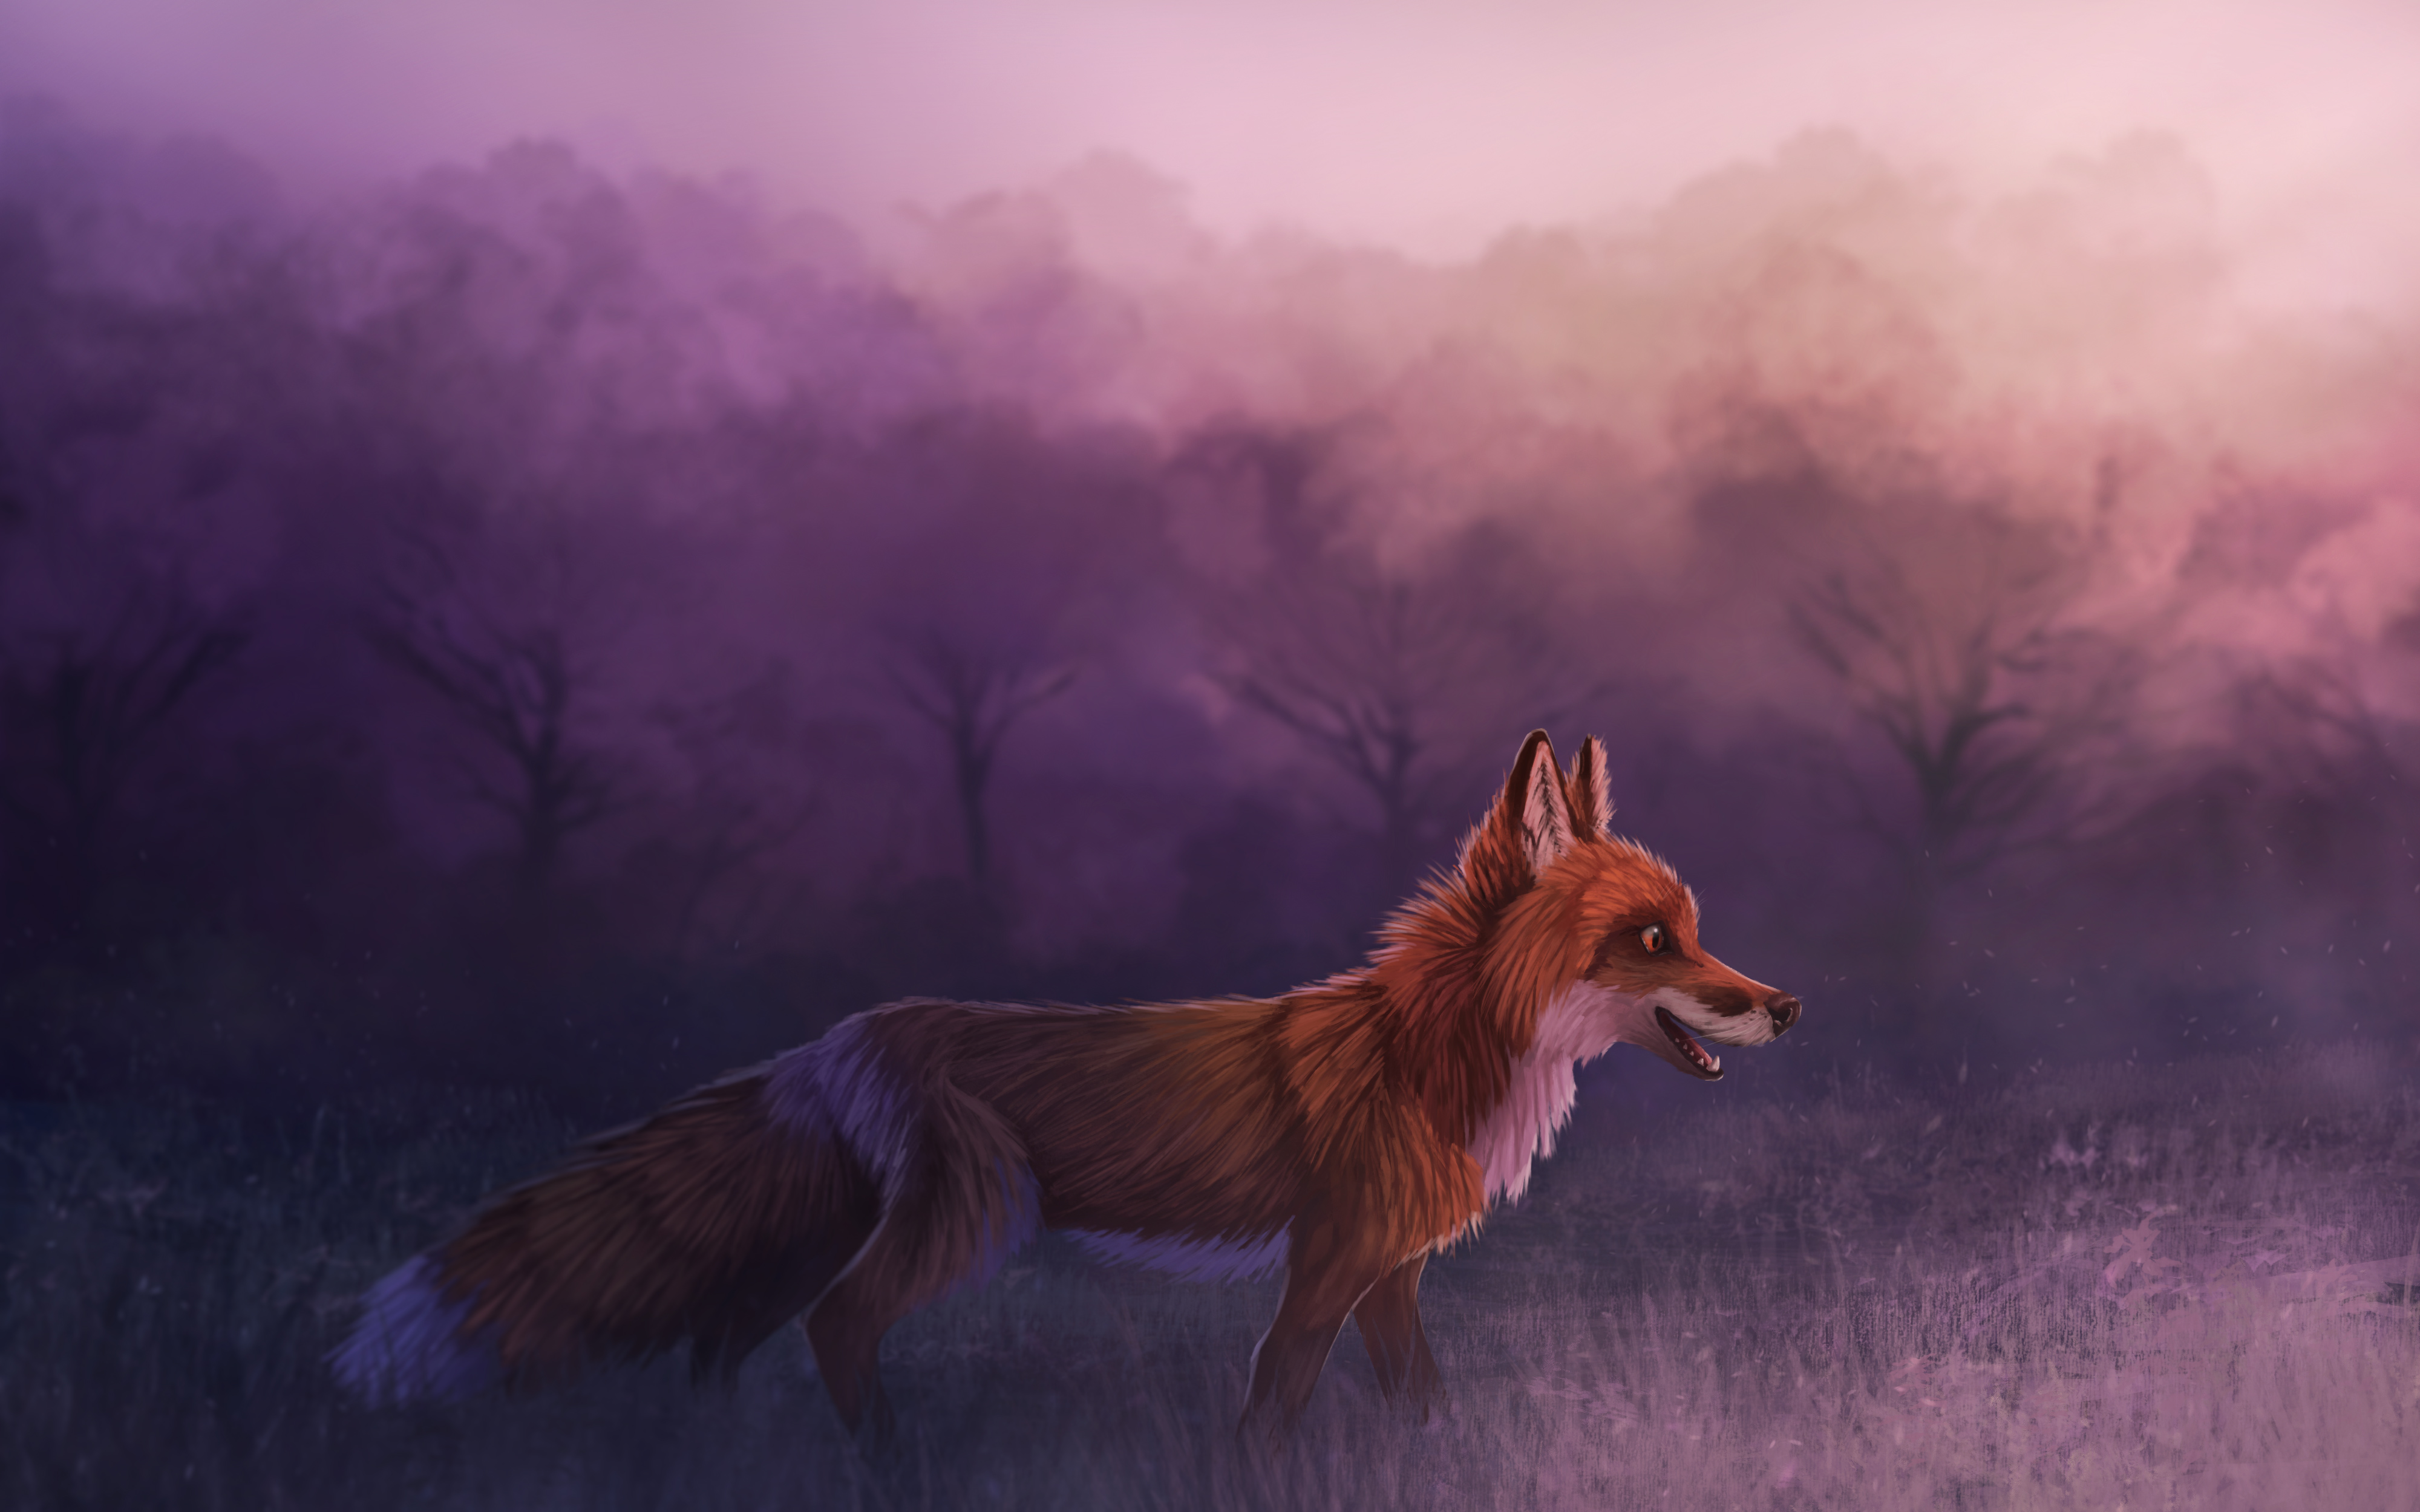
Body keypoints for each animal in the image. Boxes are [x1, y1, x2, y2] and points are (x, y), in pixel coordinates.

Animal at [332, 729, 1800, 1442]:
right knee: (834, 1325)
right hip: (966, 1213)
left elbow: (1419, 1405)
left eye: (1694, 928)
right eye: (1650, 940)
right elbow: (1268, 1410)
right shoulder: (1327, 1264)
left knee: (729, 1338)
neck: (1430, 1048)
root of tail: (837, 1038)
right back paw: (895, 1468)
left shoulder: (1391, 1276)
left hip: (829, 1229)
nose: (1783, 1005)